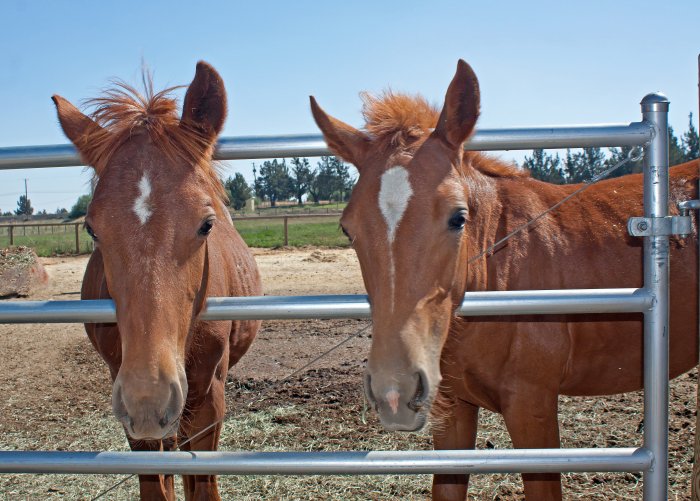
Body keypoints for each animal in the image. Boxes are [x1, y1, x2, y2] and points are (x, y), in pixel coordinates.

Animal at [52, 62, 262, 500]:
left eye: (206, 224)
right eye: (92, 229)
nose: (148, 397)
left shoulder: (208, 397)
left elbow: (202, 483)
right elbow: (157, 481)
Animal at [310, 60, 699, 500]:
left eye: (458, 217)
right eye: (347, 229)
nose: (395, 392)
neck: (502, 273)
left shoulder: (533, 408)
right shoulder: (453, 409)